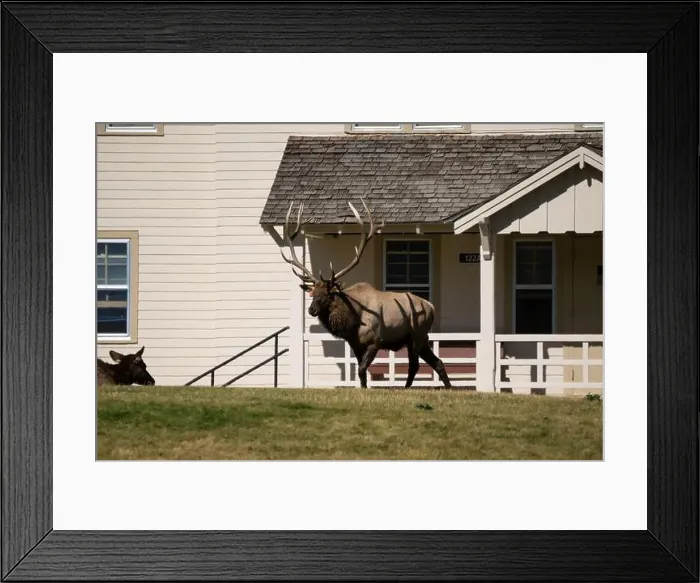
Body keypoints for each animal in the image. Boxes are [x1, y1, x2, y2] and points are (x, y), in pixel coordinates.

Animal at [280, 198, 452, 390]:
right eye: (312, 293)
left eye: (328, 294)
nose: (312, 310)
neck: (352, 320)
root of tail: (431, 307)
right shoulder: (355, 344)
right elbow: (360, 372)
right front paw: (363, 388)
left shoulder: (374, 341)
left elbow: (362, 370)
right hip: (421, 338)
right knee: (437, 362)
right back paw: (448, 388)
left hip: (417, 333)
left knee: (414, 365)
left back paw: (407, 389)